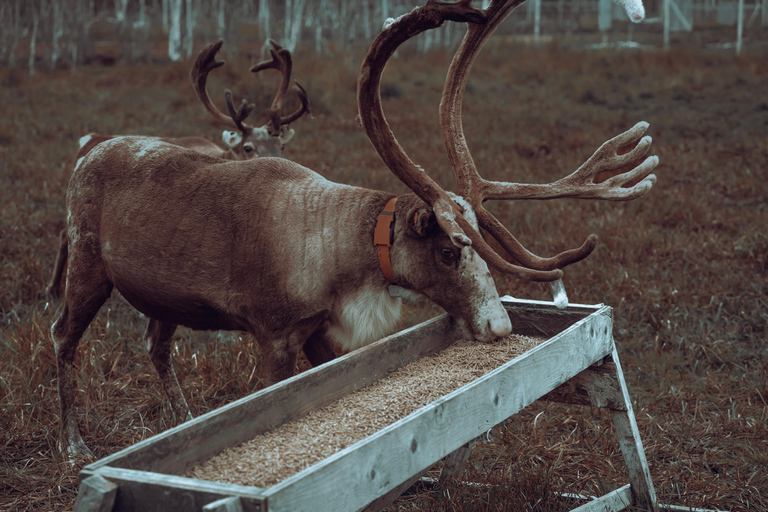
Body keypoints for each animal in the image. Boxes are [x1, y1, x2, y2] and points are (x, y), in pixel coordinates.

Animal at [45, 40, 311, 301]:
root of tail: (88, 140)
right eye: (248, 147)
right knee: (64, 235)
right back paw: (52, 289)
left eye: (281, 145)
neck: (222, 154)